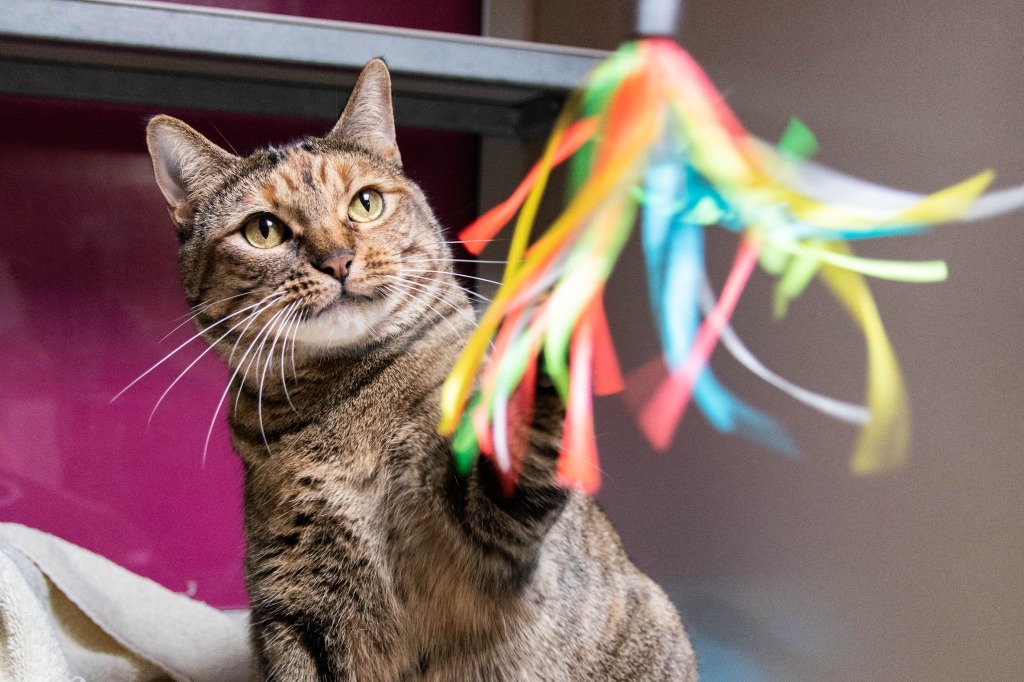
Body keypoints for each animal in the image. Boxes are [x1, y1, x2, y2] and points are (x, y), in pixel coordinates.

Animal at [144, 59, 696, 679]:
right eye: (264, 230)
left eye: (365, 202)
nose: (336, 259)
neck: (348, 402)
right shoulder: (291, 605)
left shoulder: (488, 532)